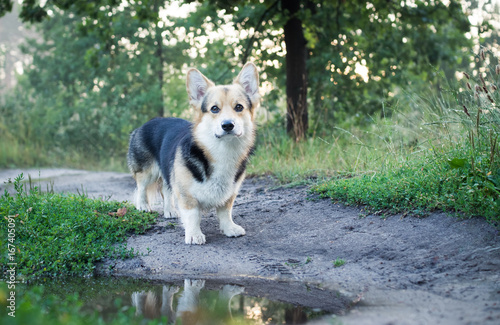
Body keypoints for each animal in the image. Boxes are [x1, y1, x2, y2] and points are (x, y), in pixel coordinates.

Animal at [127, 61, 260, 243]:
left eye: (239, 107)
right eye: (214, 109)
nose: (227, 125)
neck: (222, 150)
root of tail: (141, 126)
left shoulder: (229, 194)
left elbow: (225, 212)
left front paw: (229, 228)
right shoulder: (186, 195)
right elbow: (192, 215)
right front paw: (194, 234)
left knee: (166, 190)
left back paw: (169, 210)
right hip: (148, 171)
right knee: (141, 187)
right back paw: (143, 206)